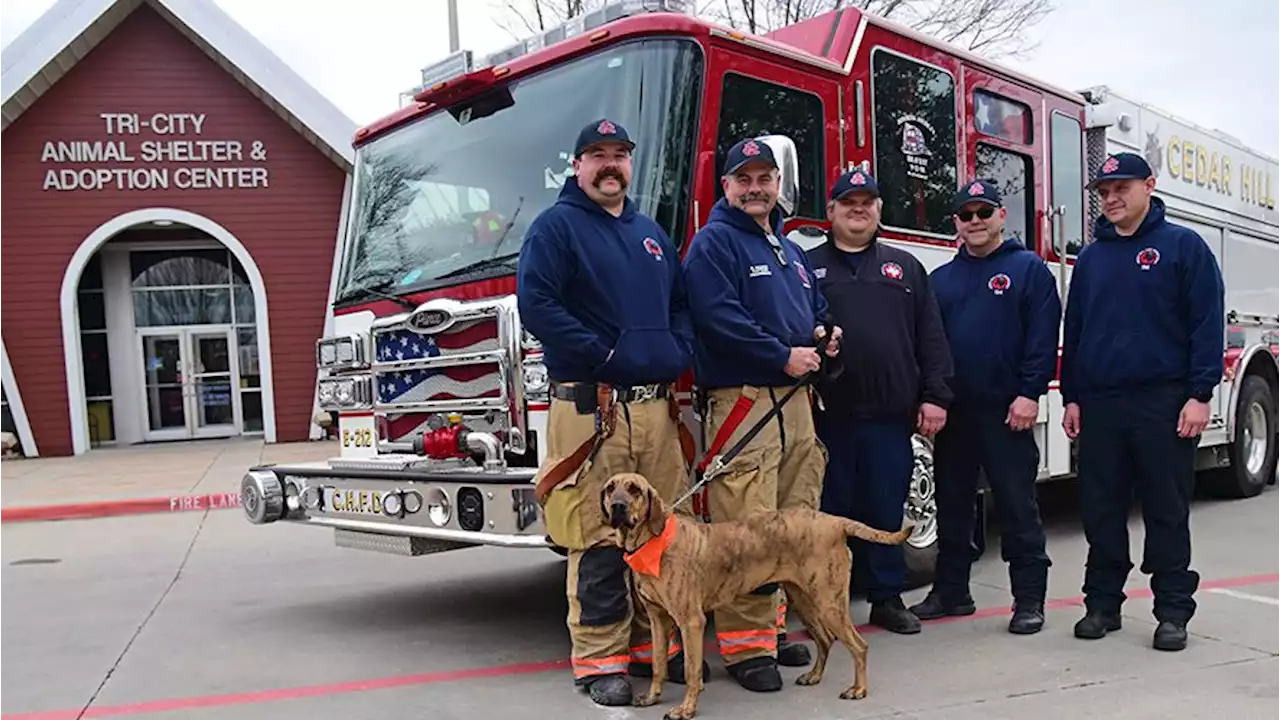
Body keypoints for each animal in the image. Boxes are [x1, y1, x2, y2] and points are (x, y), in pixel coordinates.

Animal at [604, 468, 916, 712]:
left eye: (635, 490)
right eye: (610, 488)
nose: (618, 506)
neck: (652, 542)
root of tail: (835, 521)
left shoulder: (691, 622)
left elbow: (692, 671)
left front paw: (686, 709)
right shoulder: (658, 620)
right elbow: (658, 663)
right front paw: (652, 697)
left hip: (829, 602)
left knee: (859, 645)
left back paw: (858, 690)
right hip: (804, 600)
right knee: (826, 640)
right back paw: (814, 676)